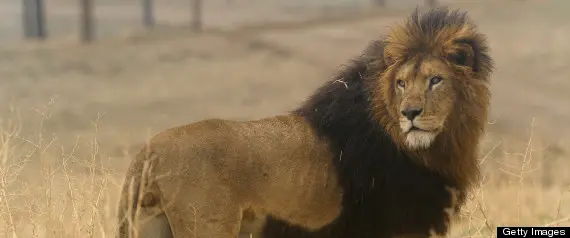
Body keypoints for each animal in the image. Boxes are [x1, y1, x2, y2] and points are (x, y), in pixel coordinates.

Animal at [116, 7, 492, 238]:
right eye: (401, 84)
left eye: (435, 81)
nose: (410, 113)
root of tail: (148, 155)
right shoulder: (400, 227)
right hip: (208, 225)